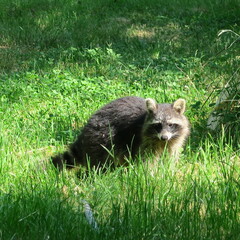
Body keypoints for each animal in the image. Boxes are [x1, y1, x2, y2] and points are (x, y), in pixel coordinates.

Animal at [51, 95, 190, 169]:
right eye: (158, 125)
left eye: (171, 125)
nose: (164, 137)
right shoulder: (144, 139)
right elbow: (147, 158)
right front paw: (150, 173)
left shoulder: (174, 140)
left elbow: (170, 156)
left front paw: (168, 170)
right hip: (102, 135)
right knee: (103, 156)